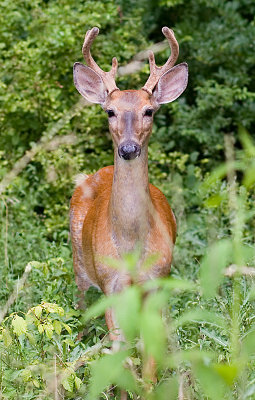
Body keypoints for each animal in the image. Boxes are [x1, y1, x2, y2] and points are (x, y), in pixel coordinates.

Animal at [69, 25, 187, 396]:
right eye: (109, 111)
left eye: (150, 110)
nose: (129, 148)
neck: (132, 247)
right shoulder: (112, 283)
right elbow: (119, 353)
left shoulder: (155, 281)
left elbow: (148, 356)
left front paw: (146, 391)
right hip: (80, 265)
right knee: (80, 313)